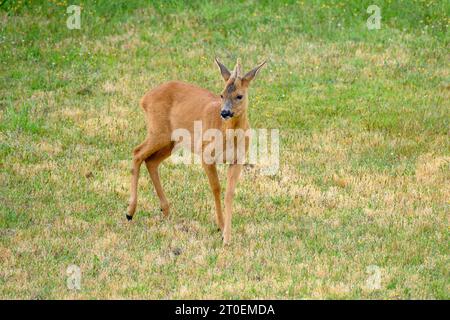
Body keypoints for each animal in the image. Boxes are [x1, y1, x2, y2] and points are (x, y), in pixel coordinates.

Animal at [126, 57, 266, 244]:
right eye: (221, 94)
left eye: (239, 96)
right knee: (137, 152)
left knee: (151, 161)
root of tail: (145, 99)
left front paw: (227, 236)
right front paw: (221, 226)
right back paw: (130, 212)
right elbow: (216, 188)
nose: (224, 112)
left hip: (171, 141)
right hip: (158, 131)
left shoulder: (238, 159)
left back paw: (165, 210)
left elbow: (229, 193)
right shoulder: (206, 153)